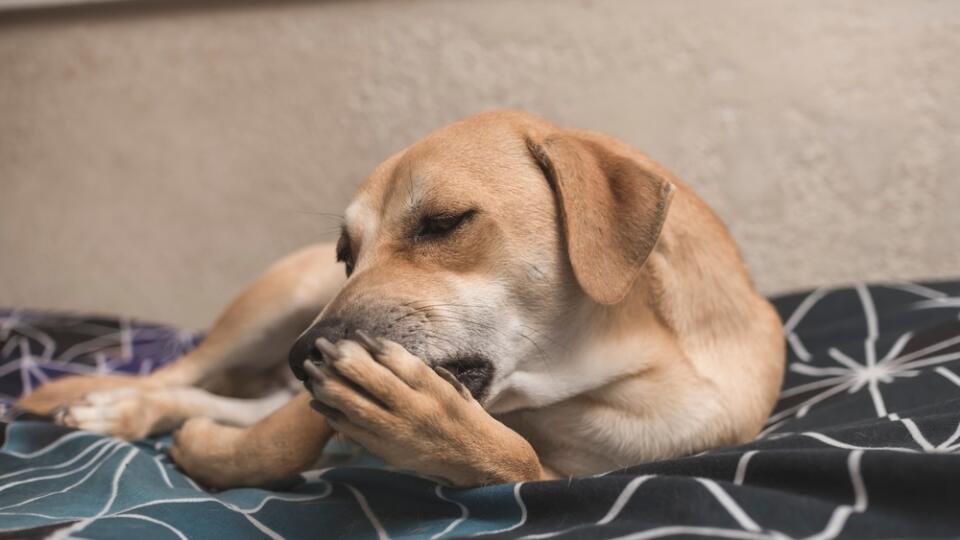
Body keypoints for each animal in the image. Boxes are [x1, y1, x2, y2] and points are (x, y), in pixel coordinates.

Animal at [15, 110, 784, 490]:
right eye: (346, 253)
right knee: (177, 375)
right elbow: (277, 442)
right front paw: (209, 450)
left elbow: (513, 460)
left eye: (442, 222)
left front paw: (436, 433)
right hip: (275, 302)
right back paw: (107, 404)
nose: (303, 355)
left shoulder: (568, 473)